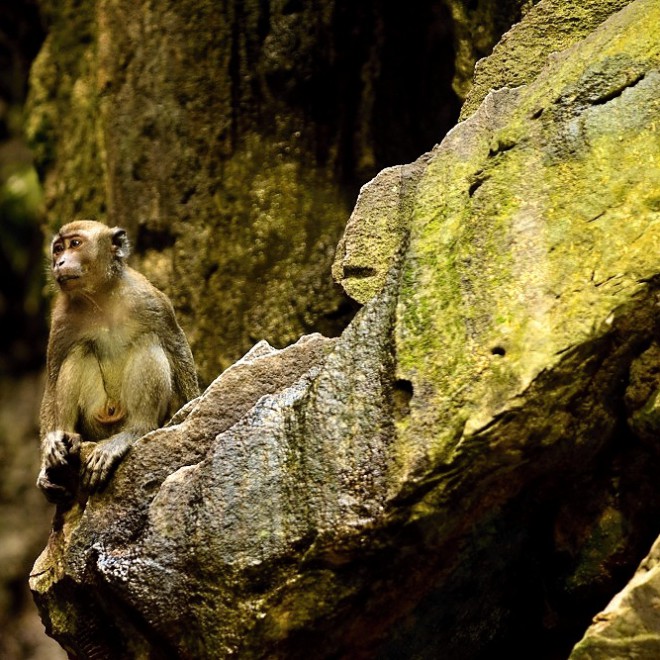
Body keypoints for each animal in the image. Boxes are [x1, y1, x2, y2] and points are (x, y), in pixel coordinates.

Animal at [38, 219, 199, 502]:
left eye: (75, 244)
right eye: (57, 249)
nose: (59, 262)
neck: (100, 297)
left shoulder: (148, 298)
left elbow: (176, 347)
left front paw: (192, 406)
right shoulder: (61, 319)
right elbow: (53, 377)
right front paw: (49, 450)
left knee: (148, 340)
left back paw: (136, 431)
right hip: (96, 422)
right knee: (78, 351)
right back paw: (68, 437)